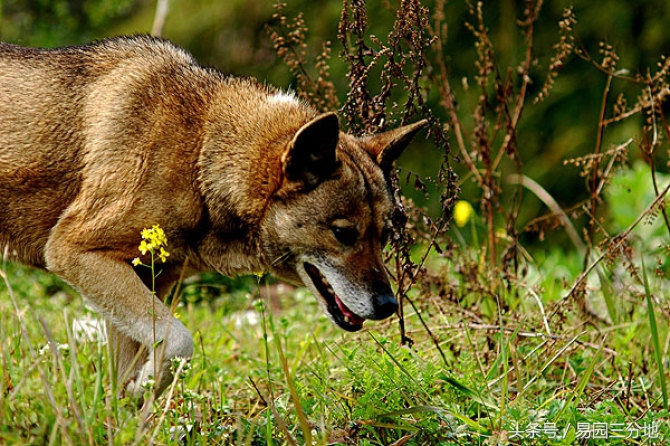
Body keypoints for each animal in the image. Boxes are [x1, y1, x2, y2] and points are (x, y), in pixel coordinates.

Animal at [0, 35, 430, 398]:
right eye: (343, 233)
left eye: (384, 236)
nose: (388, 306)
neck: (199, 153)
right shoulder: (72, 251)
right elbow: (179, 343)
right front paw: (144, 386)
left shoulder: (146, 280)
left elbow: (126, 382)